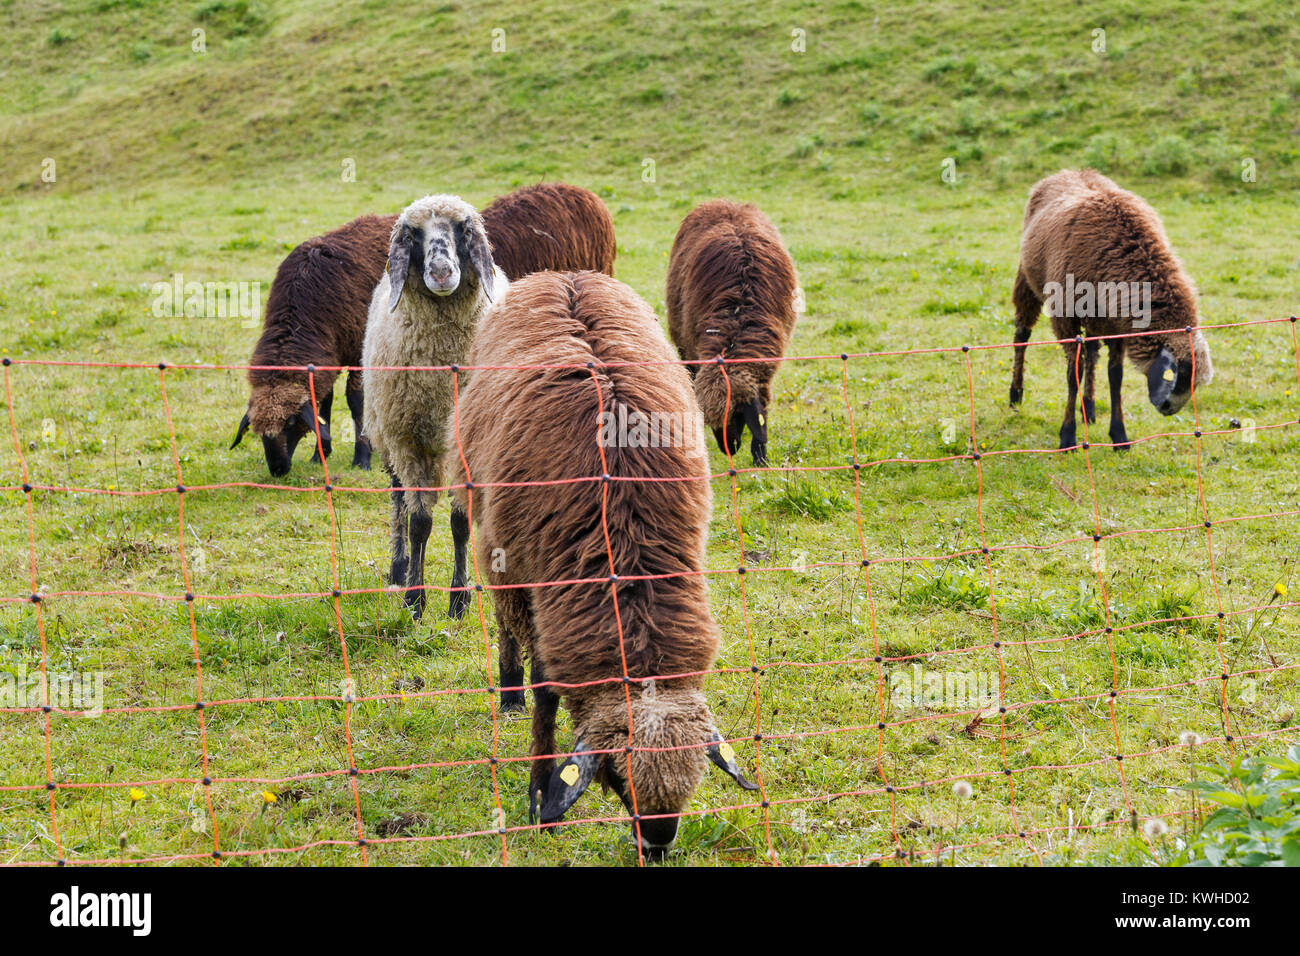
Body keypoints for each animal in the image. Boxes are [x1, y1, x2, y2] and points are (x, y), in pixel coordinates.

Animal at [232, 214, 393, 476]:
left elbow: (356, 400)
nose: (278, 470)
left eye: (290, 423)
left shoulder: (358, 351)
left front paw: (362, 458)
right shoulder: (327, 357)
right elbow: (324, 403)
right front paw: (320, 455)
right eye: (257, 431)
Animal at [361, 195, 505, 620]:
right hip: (389, 438)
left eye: (464, 229)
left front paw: (459, 599)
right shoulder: (407, 441)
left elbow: (460, 523)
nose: (441, 271)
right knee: (399, 501)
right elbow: (420, 523)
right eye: (412, 234)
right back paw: (399, 568)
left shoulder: (466, 447)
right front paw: (415, 598)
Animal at [445, 270, 758, 856]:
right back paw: (508, 687)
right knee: (504, 621)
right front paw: (540, 795)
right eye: (617, 776)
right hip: (494, 546)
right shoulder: (535, 579)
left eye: (694, 782)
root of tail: (562, 274)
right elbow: (546, 693)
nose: (656, 848)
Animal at [1008, 169, 1213, 450]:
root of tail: (1069, 171)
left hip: (1096, 318)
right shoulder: (1065, 317)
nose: (1168, 408)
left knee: (1092, 352)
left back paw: (1089, 406)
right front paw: (1067, 436)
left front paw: (1119, 436)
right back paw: (1015, 395)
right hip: (1027, 281)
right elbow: (1074, 372)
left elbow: (1115, 375)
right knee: (1022, 335)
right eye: (1177, 374)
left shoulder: (1118, 325)